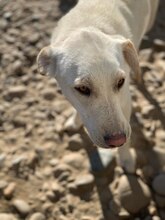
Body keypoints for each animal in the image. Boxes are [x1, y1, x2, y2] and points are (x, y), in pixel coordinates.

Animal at [37, 0, 159, 172]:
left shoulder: (125, 101)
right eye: (82, 89)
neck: (88, 25)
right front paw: (75, 122)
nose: (117, 140)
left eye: (120, 82)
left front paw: (126, 158)